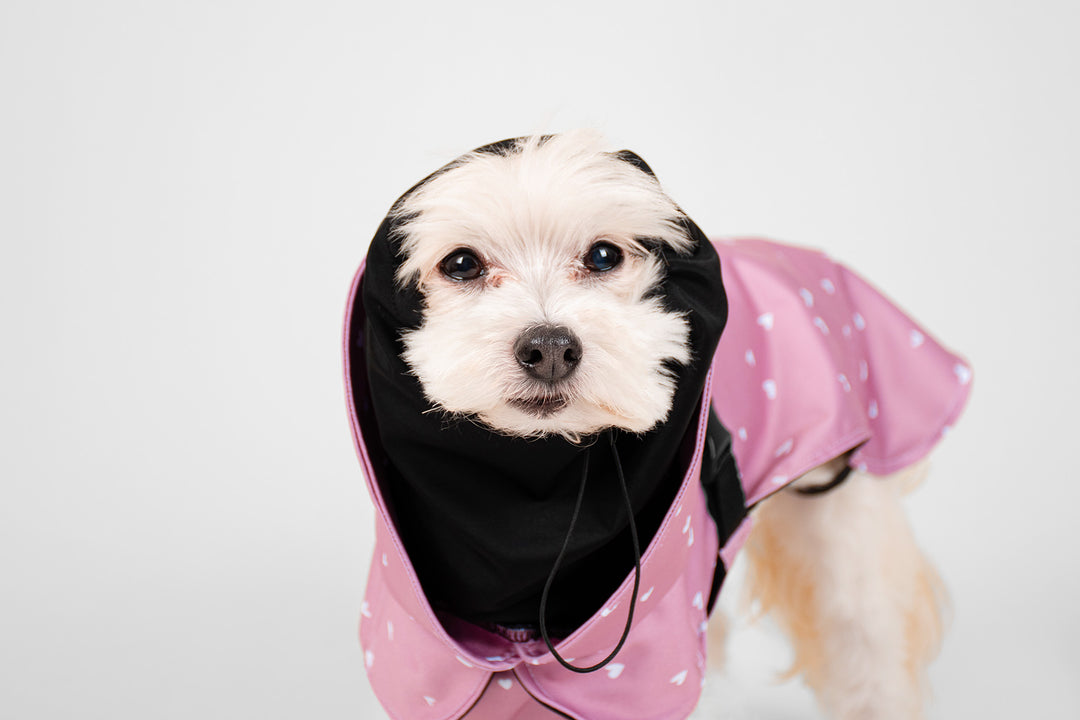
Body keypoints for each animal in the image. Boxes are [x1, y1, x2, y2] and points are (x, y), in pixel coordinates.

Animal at [343, 131, 972, 720]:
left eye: (603, 256)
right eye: (461, 264)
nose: (550, 348)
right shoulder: (421, 664)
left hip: (846, 533)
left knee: (868, 650)